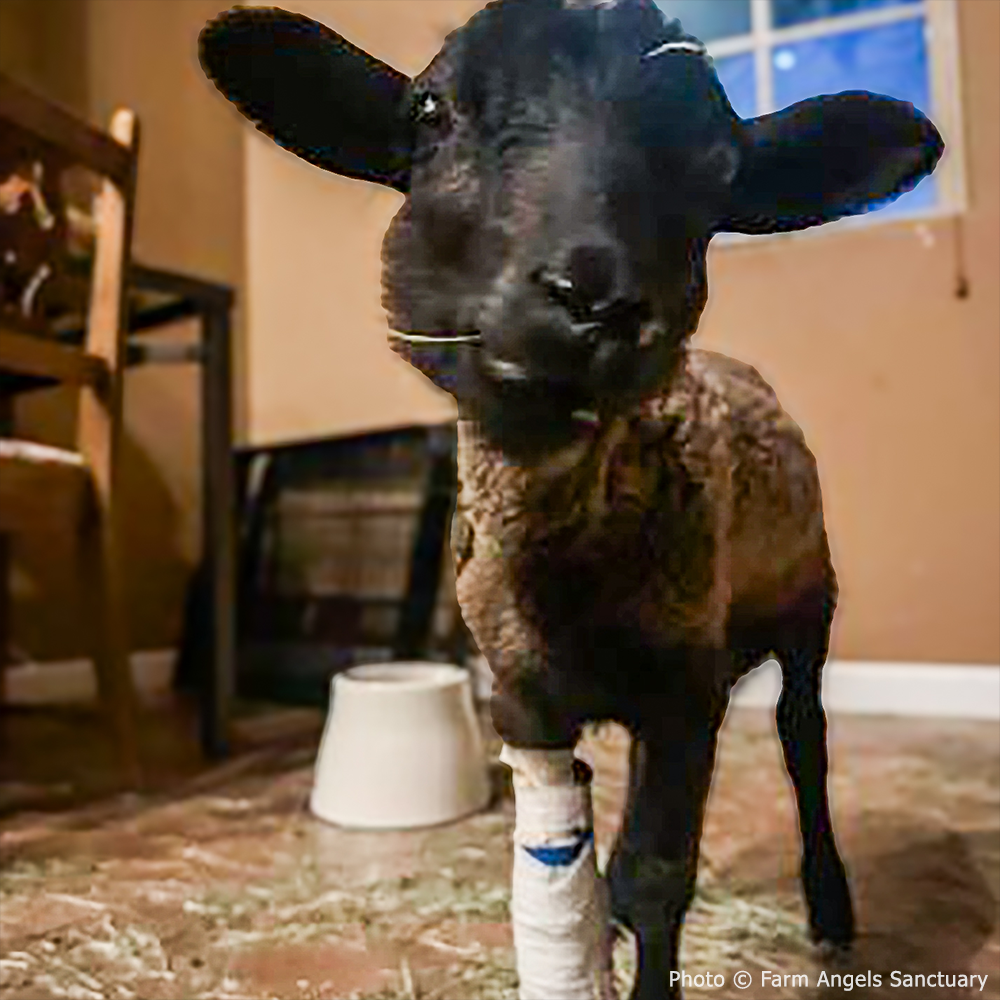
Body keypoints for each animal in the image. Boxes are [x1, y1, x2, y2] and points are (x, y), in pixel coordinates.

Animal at [198, 3, 943, 997]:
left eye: (721, 172)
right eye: (430, 110)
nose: (598, 299)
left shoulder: (685, 688)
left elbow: (653, 880)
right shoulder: (526, 700)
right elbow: (569, 864)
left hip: (806, 601)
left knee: (804, 739)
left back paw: (829, 909)